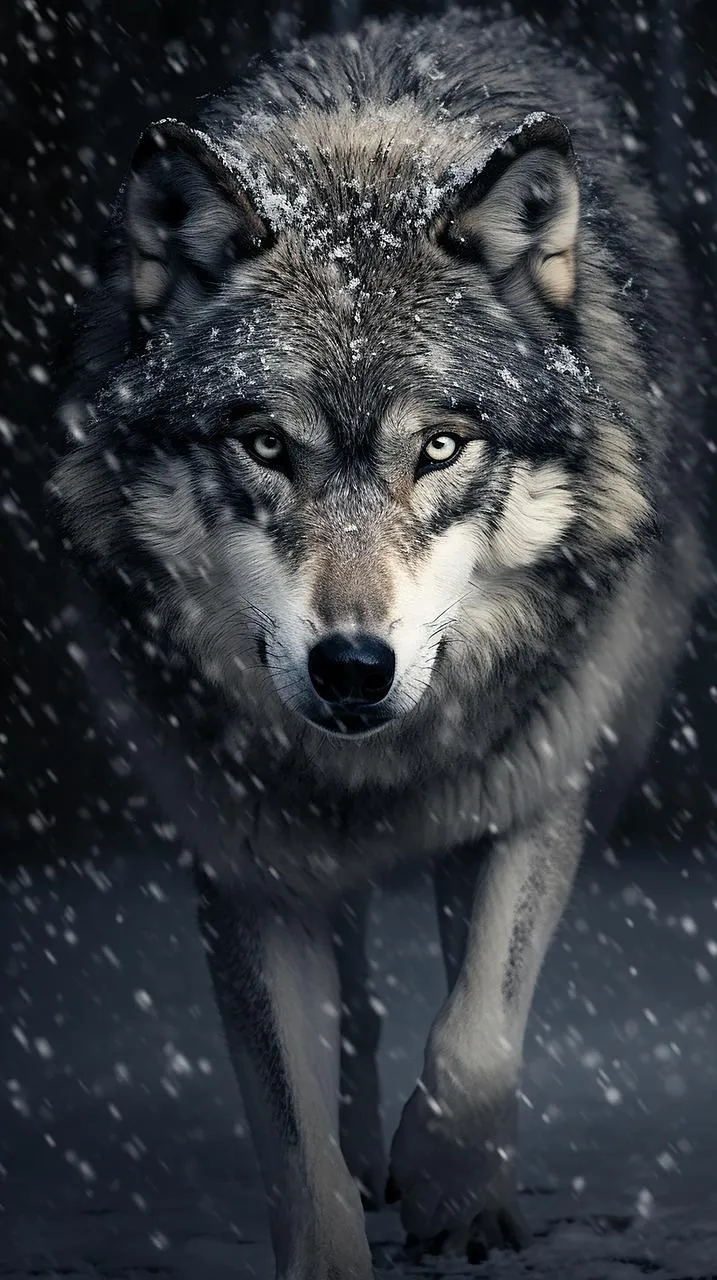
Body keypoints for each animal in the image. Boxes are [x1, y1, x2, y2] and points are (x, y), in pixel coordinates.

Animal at [49, 7, 708, 1277]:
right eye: (264, 444)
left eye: (441, 446)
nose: (353, 665)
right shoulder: (240, 859)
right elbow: (296, 1143)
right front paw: (348, 1200)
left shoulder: (540, 789)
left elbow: (478, 1034)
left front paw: (455, 1187)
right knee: (353, 994)